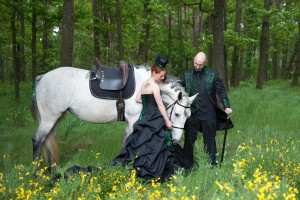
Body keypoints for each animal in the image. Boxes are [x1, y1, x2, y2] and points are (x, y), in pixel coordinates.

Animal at [31, 65, 198, 167]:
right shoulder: (133, 119)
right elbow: (129, 141)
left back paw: (53, 170)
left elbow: (126, 142)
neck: (145, 83)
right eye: (177, 114)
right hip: (49, 119)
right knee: (37, 141)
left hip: (56, 118)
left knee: (49, 140)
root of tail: (42, 78)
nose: (176, 140)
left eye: (188, 116)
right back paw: (36, 174)